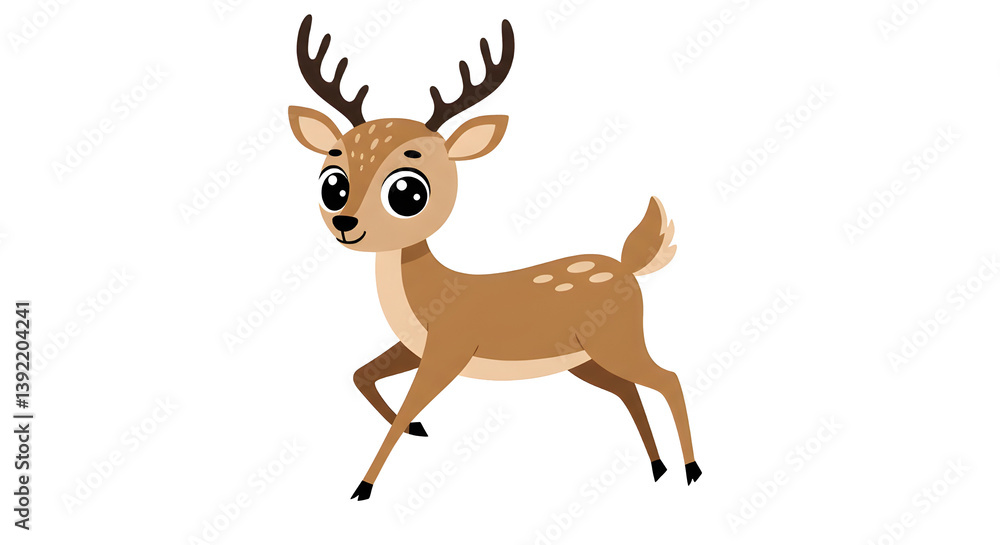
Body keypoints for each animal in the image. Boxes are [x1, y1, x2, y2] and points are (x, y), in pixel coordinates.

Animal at [288, 15, 701, 501]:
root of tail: (629, 267)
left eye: (408, 192)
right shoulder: (415, 347)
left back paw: (691, 469)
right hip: (586, 361)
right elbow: (361, 375)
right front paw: (416, 428)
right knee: (630, 391)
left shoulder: (449, 348)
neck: (427, 295)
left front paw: (364, 486)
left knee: (669, 378)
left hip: (618, 341)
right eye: (333, 181)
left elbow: (404, 402)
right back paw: (658, 467)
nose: (345, 222)